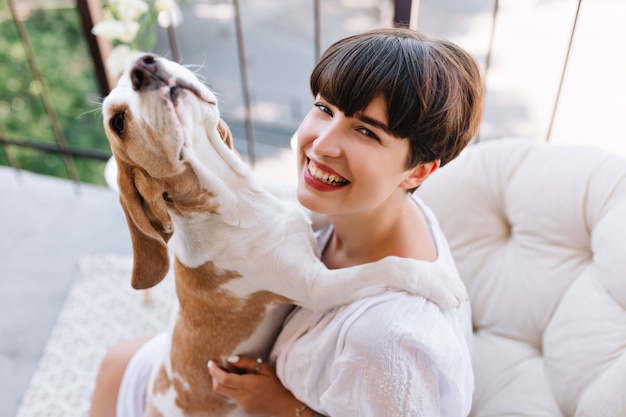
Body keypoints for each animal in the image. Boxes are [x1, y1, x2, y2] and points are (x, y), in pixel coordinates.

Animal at [101, 55, 464, 416]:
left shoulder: (305, 212)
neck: (242, 200)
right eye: (118, 122)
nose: (143, 65)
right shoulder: (317, 287)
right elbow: (386, 266)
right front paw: (438, 279)